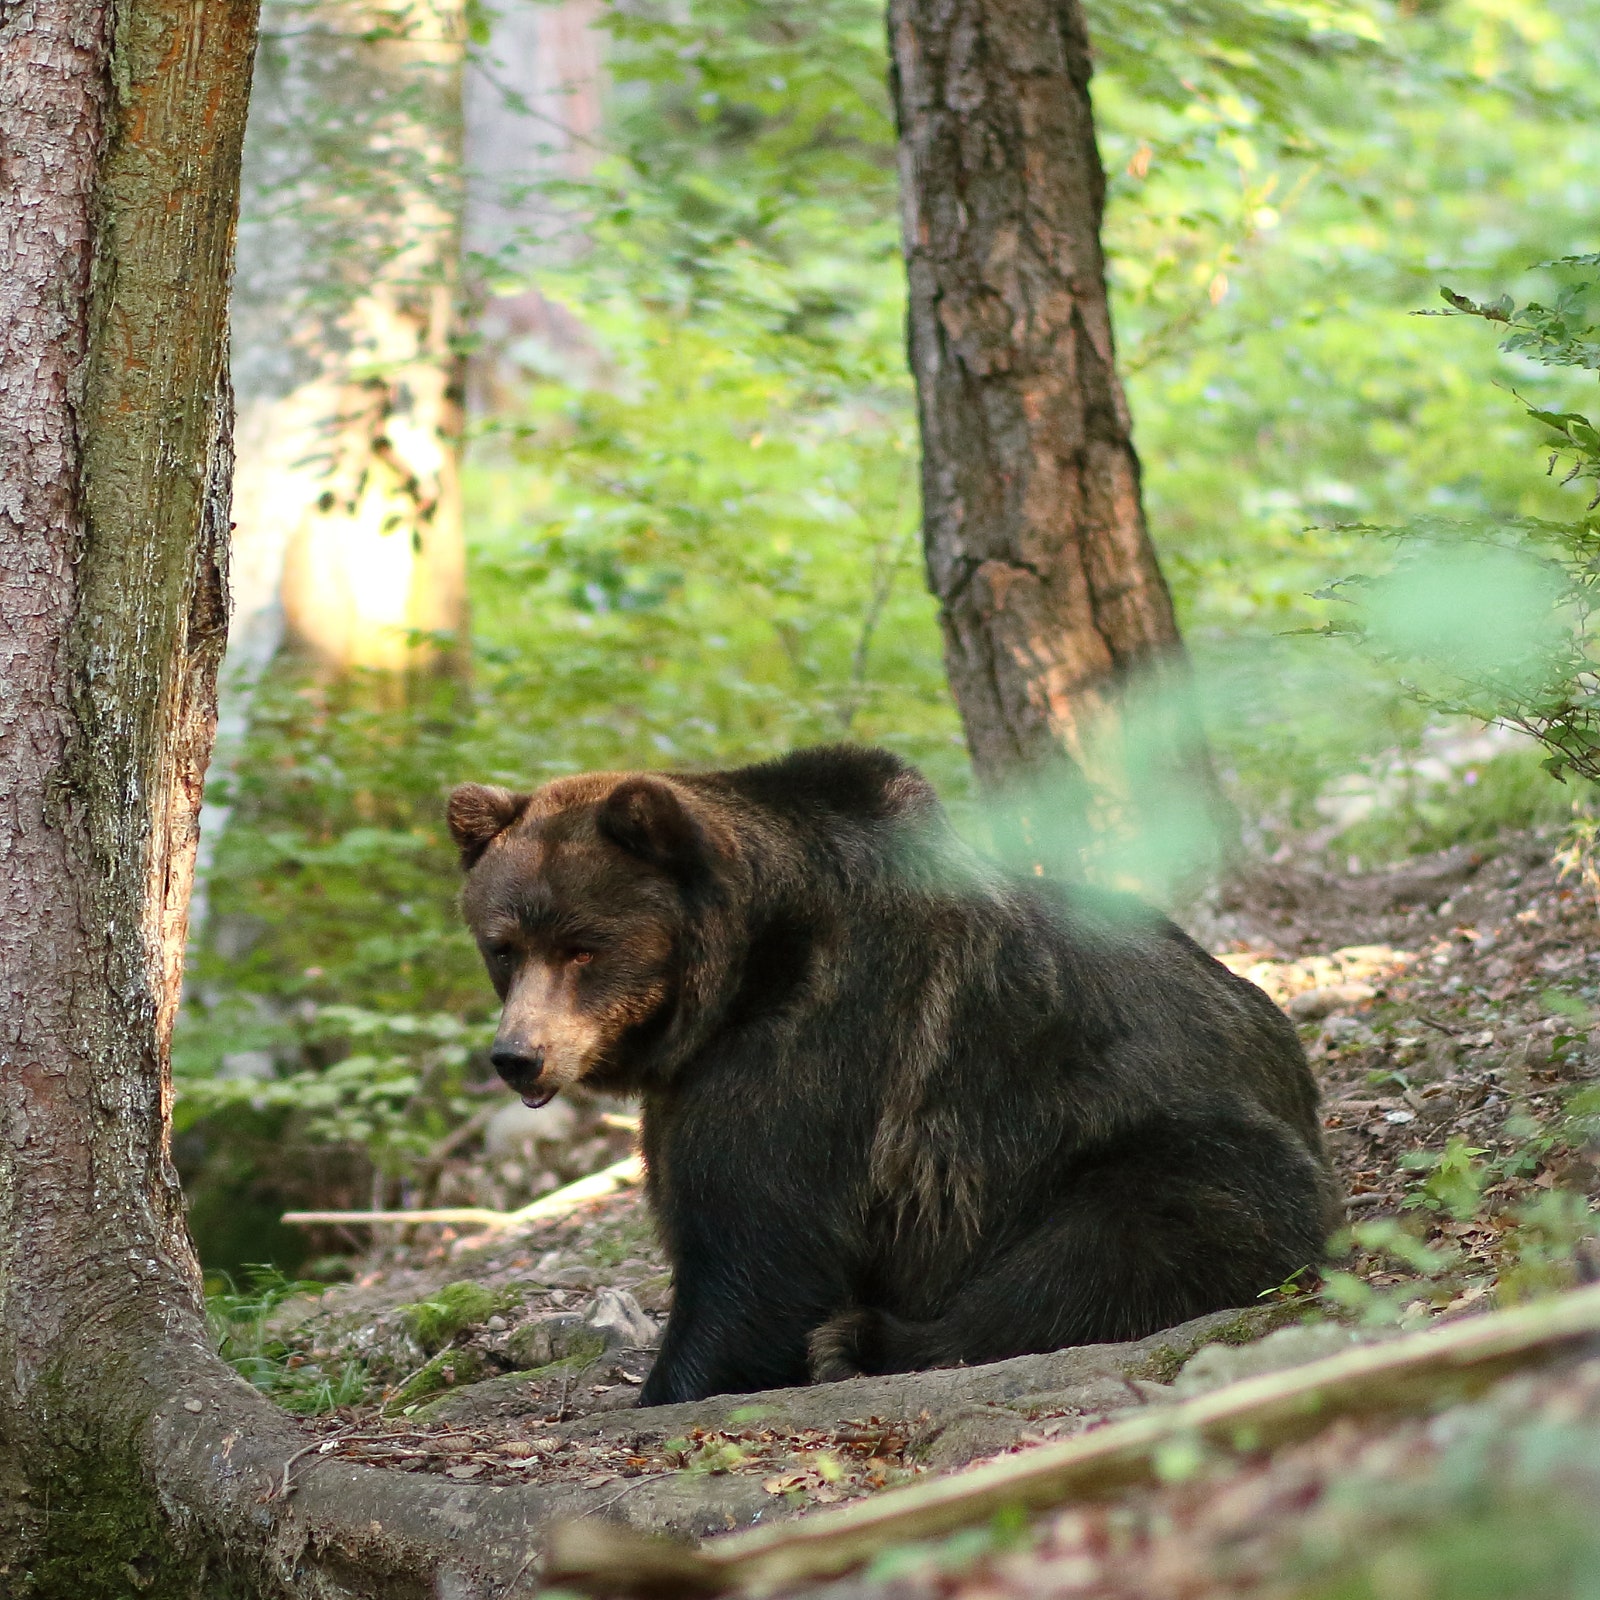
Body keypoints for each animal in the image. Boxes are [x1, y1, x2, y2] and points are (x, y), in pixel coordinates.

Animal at [448, 742, 1337, 1408]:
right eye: (503, 946)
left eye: (582, 945)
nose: (517, 1054)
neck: (741, 976)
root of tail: (1292, 1065)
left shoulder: (814, 1048)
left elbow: (758, 1249)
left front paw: (674, 1381)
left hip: (1154, 1138)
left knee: (1128, 1235)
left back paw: (861, 1339)